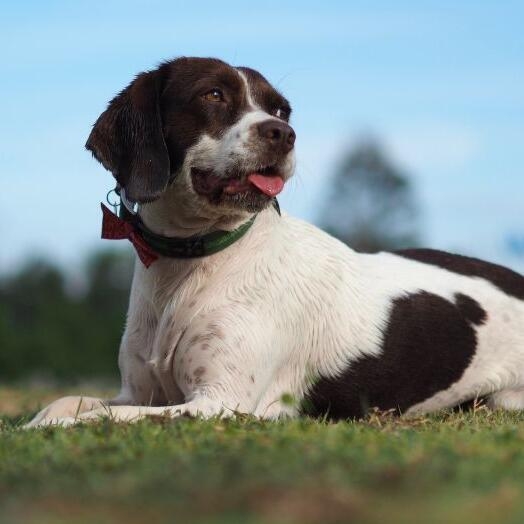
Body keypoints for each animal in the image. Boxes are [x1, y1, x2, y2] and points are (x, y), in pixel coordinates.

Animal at [27, 57, 524, 428]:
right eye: (213, 95)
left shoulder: (220, 402)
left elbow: (97, 418)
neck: (193, 262)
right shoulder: (139, 391)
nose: (283, 134)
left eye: (282, 110)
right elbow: (67, 403)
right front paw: (39, 420)